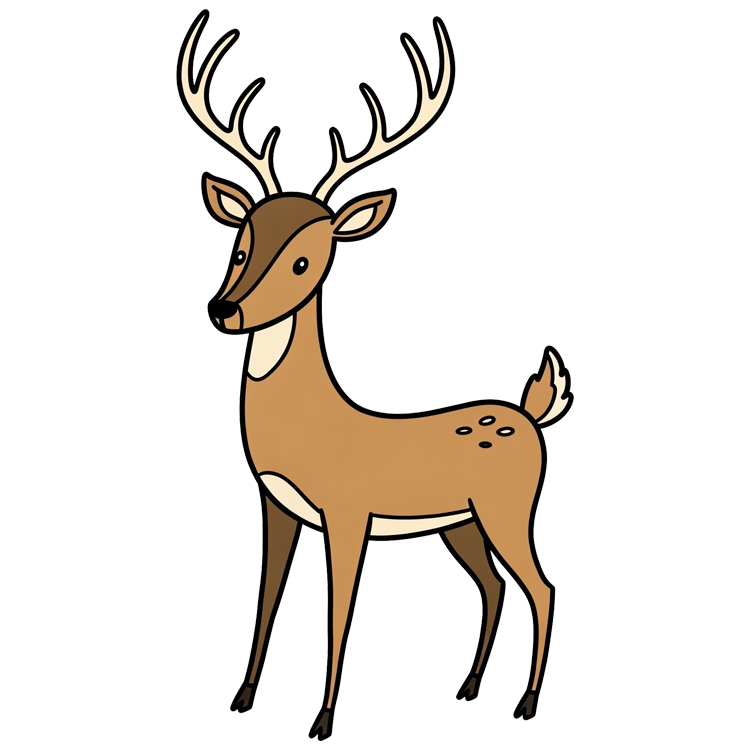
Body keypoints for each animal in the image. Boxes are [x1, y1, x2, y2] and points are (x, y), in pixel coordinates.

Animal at [177, 10, 573, 740]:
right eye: (240, 245)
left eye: (305, 261)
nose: (226, 309)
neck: (315, 428)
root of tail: (532, 414)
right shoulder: (276, 503)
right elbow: (266, 596)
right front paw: (243, 698)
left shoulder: (348, 510)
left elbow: (339, 611)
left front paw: (324, 719)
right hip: (459, 522)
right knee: (494, 584)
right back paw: (468, 688)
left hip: (509, 507)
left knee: (541, 585)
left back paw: (526, 703)